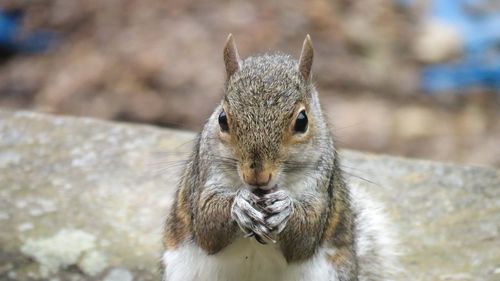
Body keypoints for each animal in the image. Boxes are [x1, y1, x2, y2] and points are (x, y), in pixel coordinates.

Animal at [162, 35, 396, 280]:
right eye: (222, 119)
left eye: (302, 121)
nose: (257, 176)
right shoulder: (204, 175)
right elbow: (207, 224)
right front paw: (240, 205)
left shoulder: (320, 186)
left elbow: (305, 238)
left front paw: (285, 208)